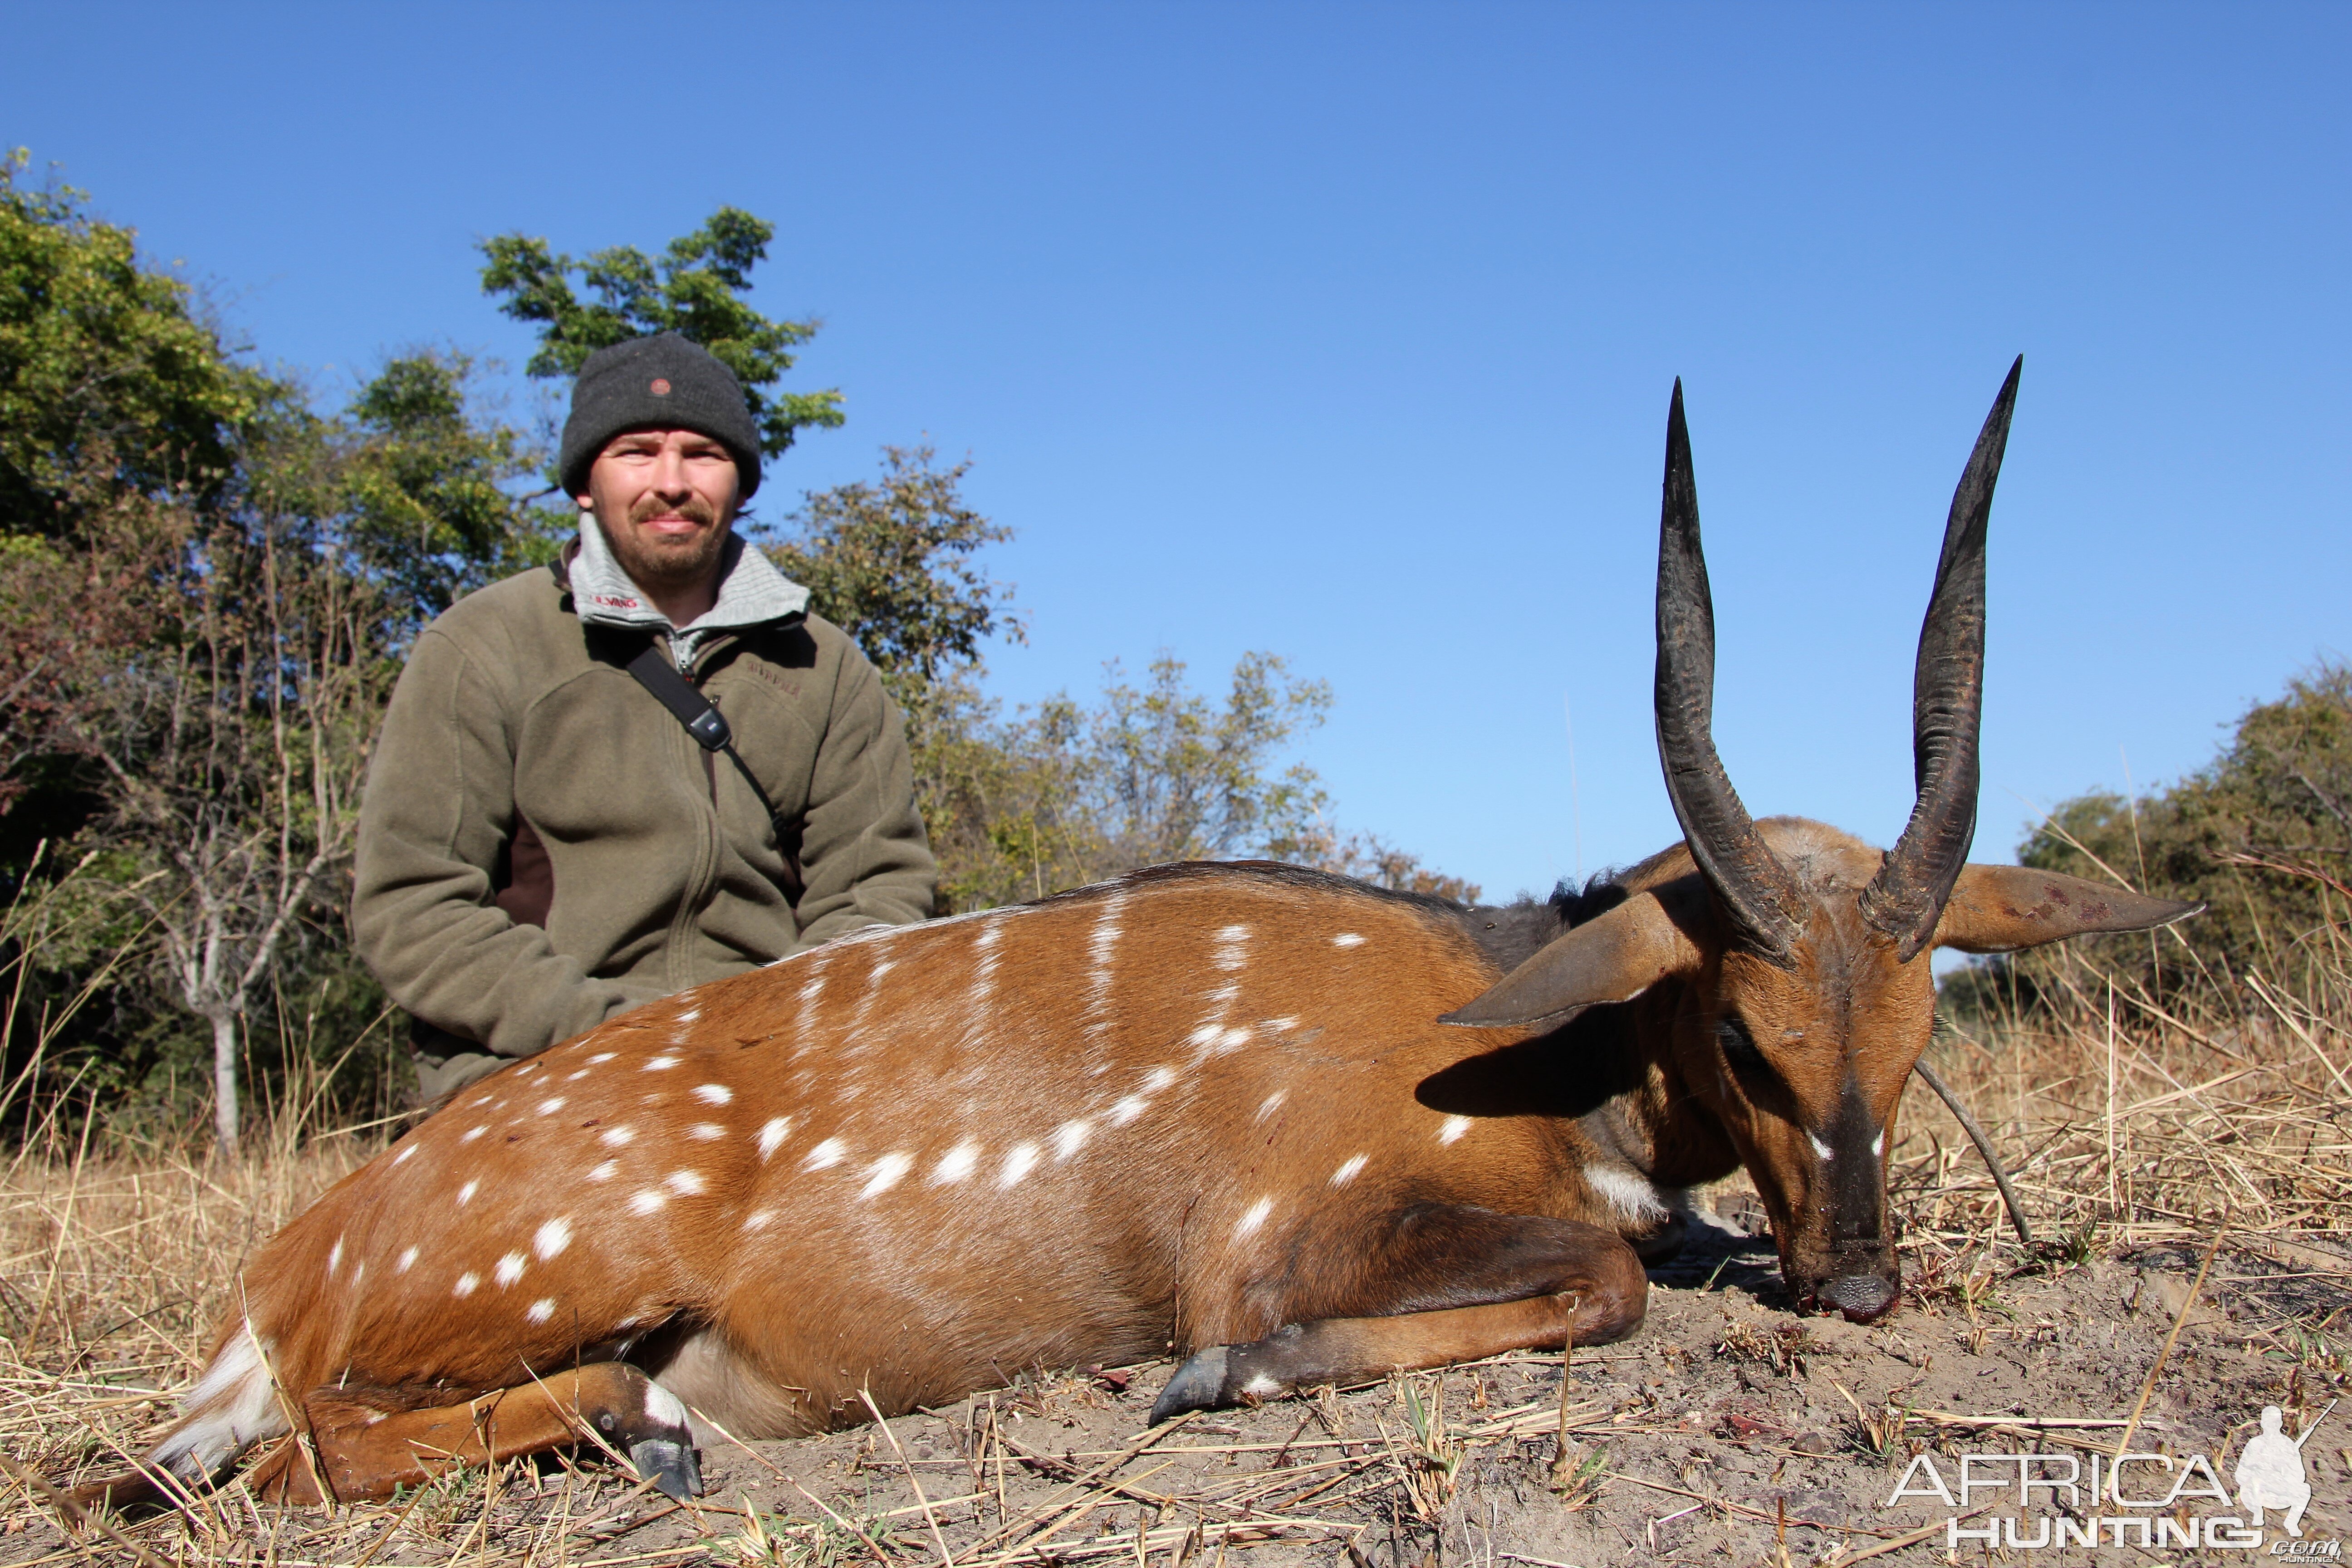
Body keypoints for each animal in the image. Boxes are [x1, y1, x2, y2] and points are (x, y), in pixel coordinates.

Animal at [78, 355, 2201, 1504]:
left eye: (1918, 1037)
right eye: (1746, 1034)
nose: (1859, 1283)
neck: (1519, 1035)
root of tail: (287, 1265)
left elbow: (1647, 1255)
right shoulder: (1275, 1225)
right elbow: (1588, 1284)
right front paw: (1213, 1378)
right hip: (536, 1269)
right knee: (316, 1442)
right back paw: (642, 1426)